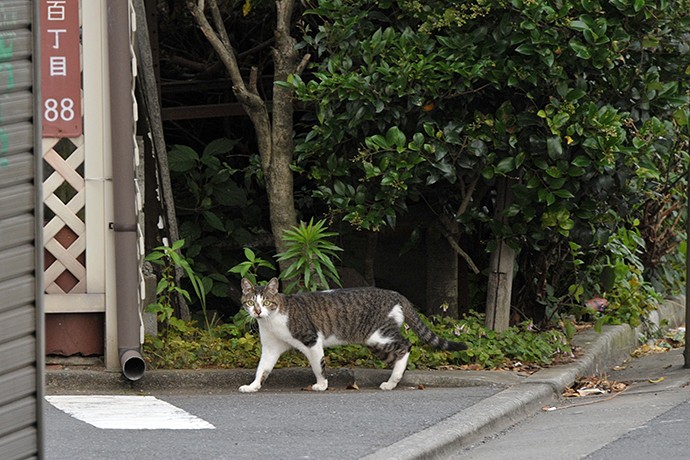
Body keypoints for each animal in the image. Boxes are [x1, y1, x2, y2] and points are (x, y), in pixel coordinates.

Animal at [238, 276, 468, 392]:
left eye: (266, 302)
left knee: (406, 344)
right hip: (374, 343)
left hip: (379, 336)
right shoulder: (270, 348)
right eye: (250, 302)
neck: (271, 321)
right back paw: (393, 381)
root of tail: (396, 294)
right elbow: (262, 369)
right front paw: (253, 386)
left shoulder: (311, 340)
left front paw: (321, 385)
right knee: (399, 352)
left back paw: (393, 380)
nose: (257, 311)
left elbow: (318, 366)